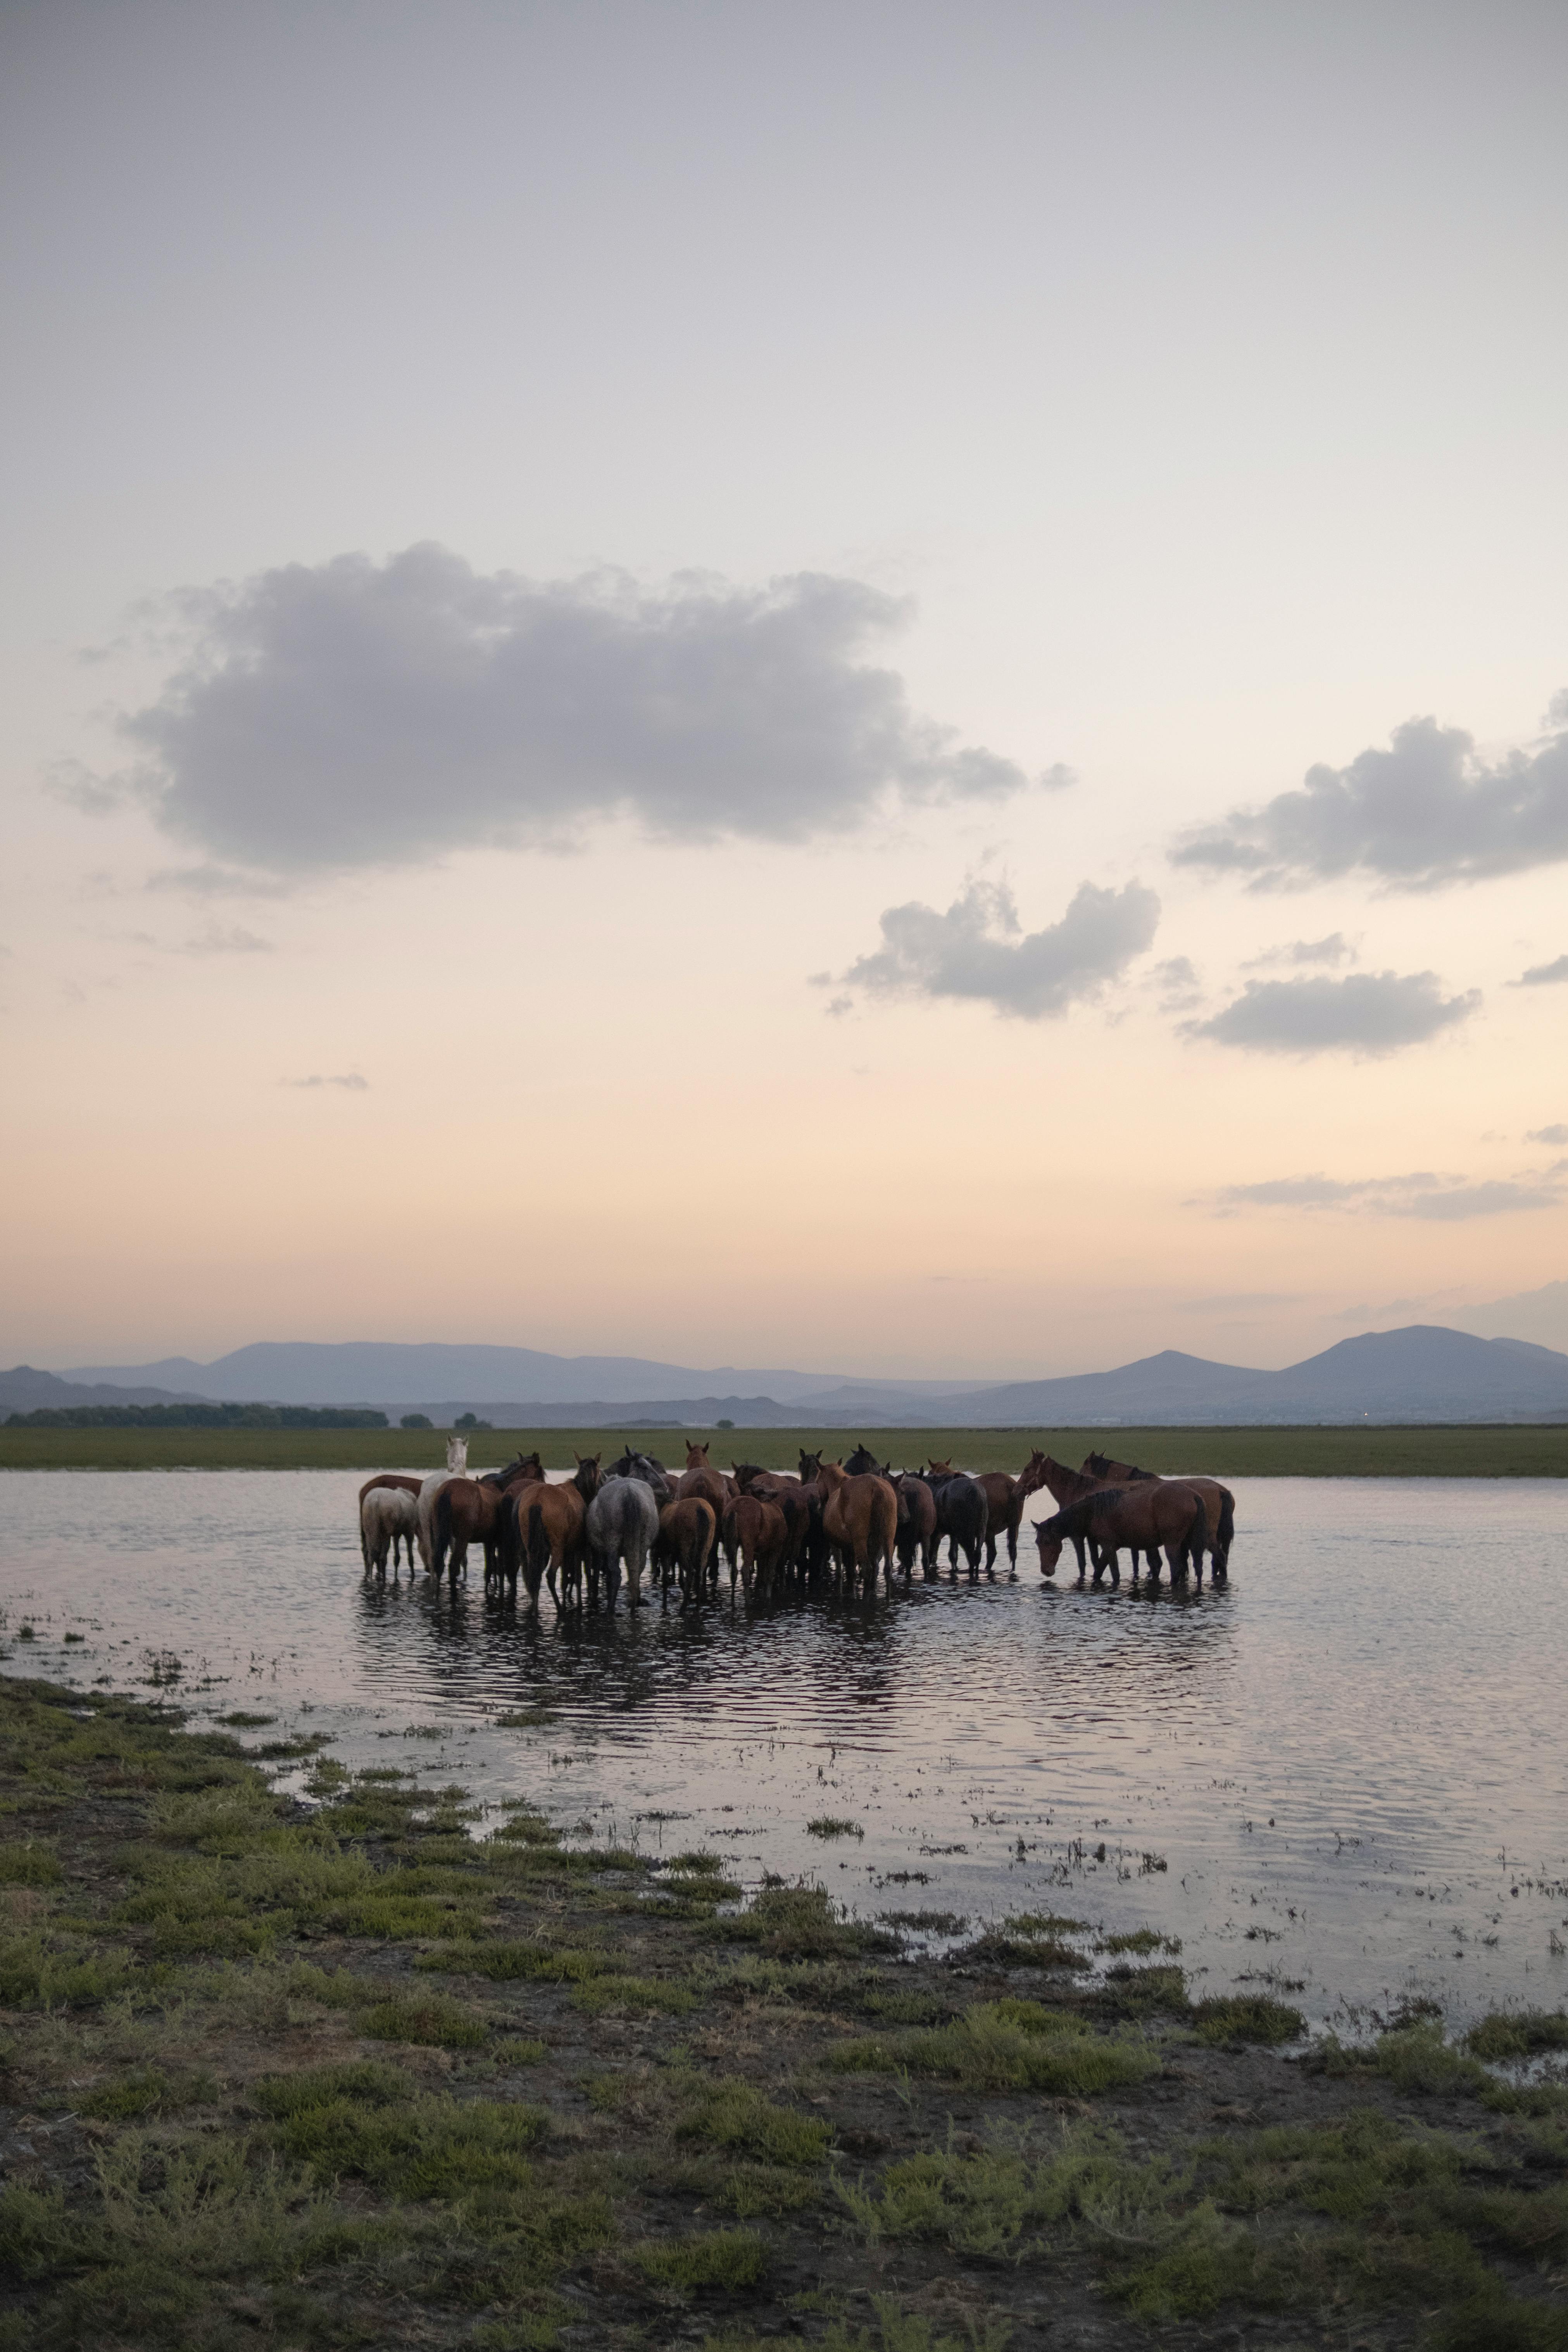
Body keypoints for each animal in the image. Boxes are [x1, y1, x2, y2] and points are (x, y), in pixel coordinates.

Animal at [588, 1477, 663, 1609]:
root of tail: (630, 1494)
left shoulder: (598, 1551)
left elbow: (598, 1571)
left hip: (613, 1541)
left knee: (616, 1574)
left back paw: (611, 1607)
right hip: (643, 1543)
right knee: (637, 1570)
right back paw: (635, 1602)